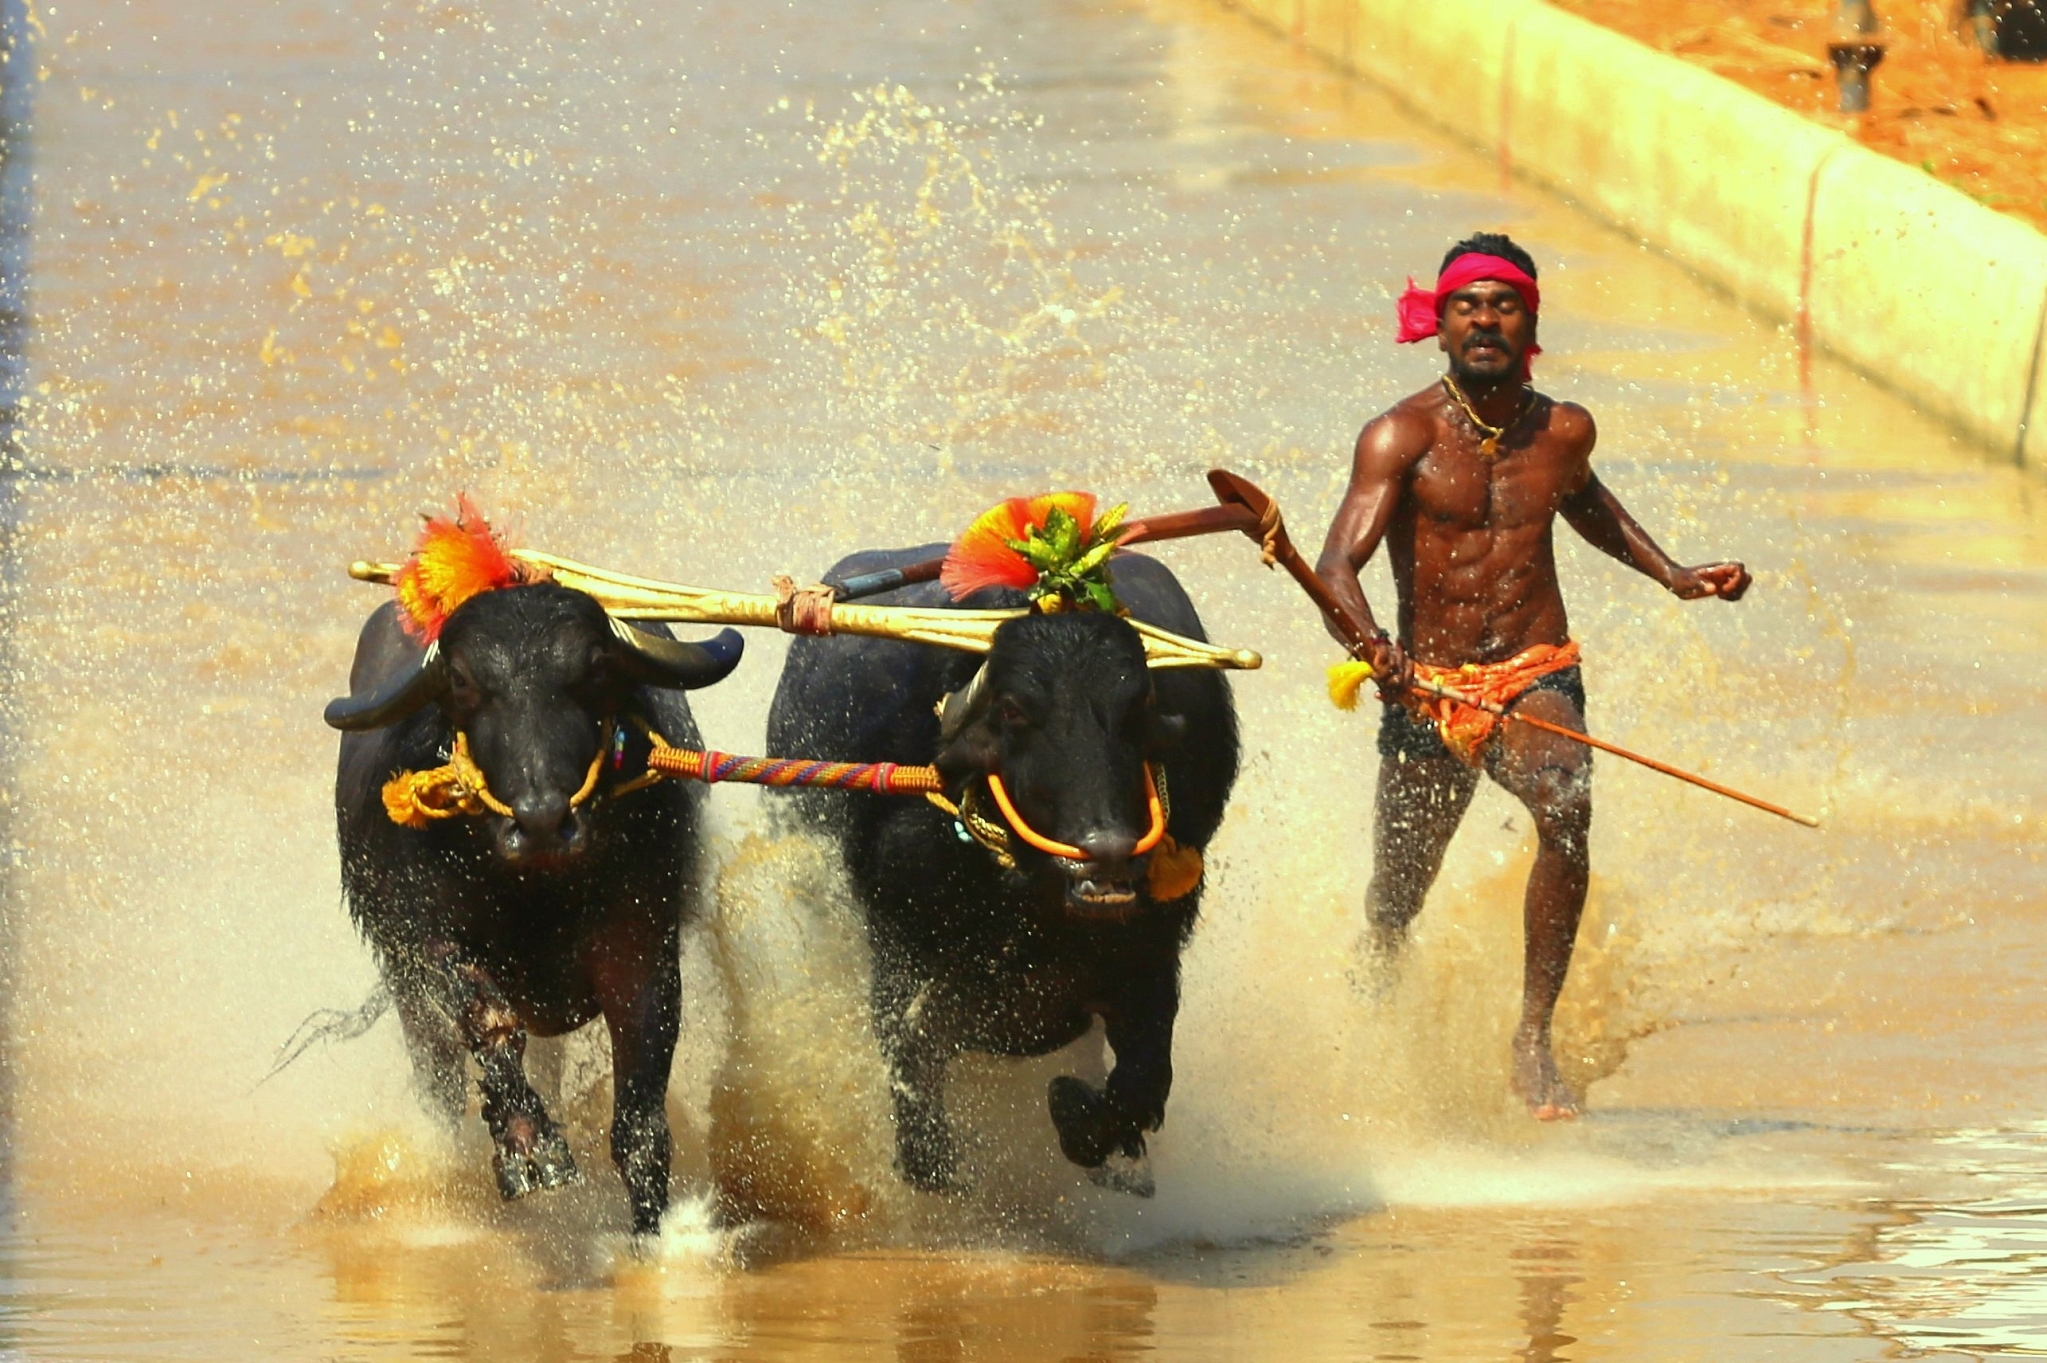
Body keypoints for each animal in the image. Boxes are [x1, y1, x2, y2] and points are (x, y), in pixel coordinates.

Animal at [331, 577, 749, 1227]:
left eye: (594, 666)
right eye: (460, 679)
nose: (542, 821)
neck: (537, 893)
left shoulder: (641, 945)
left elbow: (641, 1123)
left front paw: (652, 1234)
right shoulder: (428, 940)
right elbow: (489, 1022)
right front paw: (531, 1149)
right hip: (409, 999)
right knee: (440, 1087)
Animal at [769, 548, 1236, 1195]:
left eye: (1135, 709)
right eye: (1014, 710)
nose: (1107, 850)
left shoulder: (1149, 957)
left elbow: (1141, 1081)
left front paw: (1080, 1117)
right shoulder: (899, 949)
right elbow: (913, 1053)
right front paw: (929, 1157)